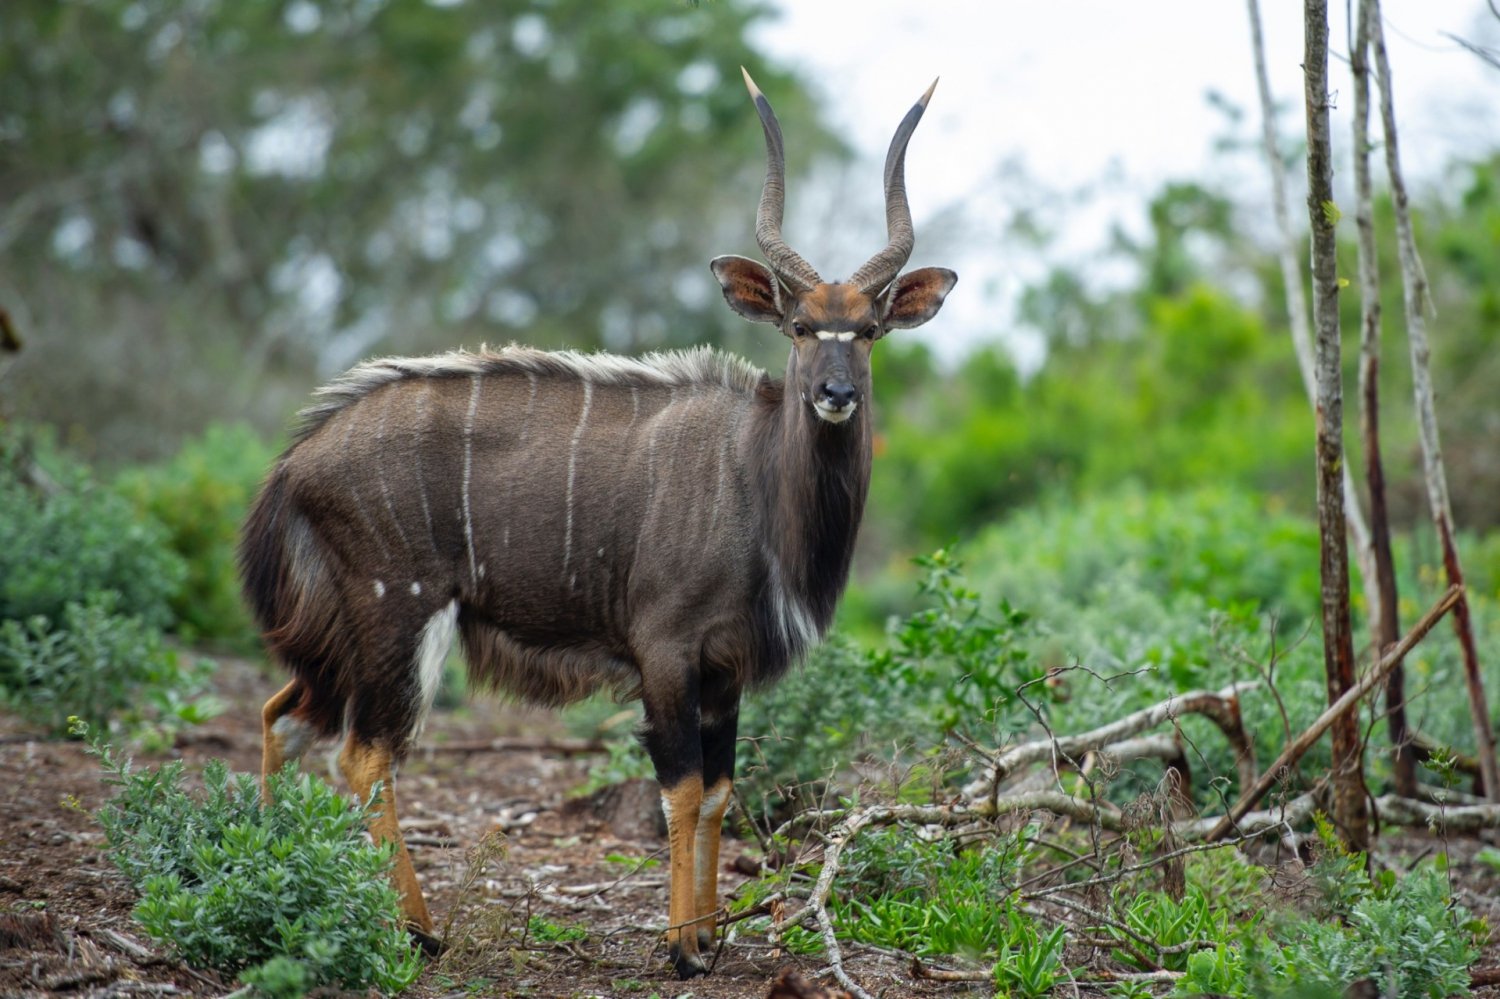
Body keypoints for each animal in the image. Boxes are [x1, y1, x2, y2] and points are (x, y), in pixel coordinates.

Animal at [240, 70, 954, 972]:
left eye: (867, 330)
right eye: (799, 326)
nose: (836, 394)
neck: (754, 479)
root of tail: (295, 462)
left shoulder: (723, 669)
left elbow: (722, 790)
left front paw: (712, 935)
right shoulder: (665, 652)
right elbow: (681, 789)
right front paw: (683, 946)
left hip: (340, 635)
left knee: (284, 714)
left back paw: (272, 876)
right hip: (395, 614)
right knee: (365, 751)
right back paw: (417, 930)